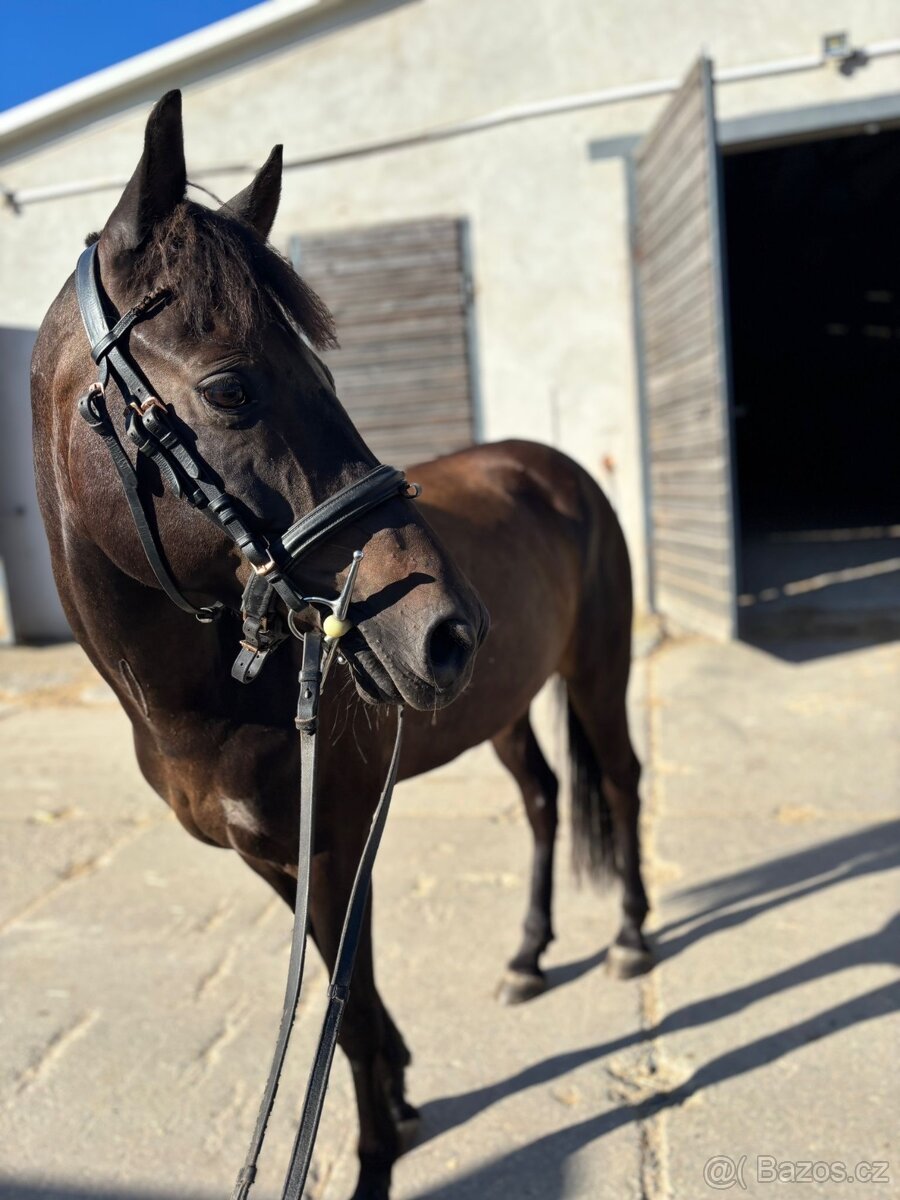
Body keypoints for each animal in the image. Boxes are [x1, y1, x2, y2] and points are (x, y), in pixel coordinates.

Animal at [31, 91, 651, 1200]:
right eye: (230, 389)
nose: (448, 627)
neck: (204, 700)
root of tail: (549, 463)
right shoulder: (280, 860)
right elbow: (344, 997)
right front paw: (400, 1093)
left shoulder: (331, 845)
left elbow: (345, 1021)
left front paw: (376, 1146)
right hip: (499, 707)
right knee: (544, 798)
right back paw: (528, 956)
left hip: (596, 669)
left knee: (617, 780)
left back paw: (626, 935)